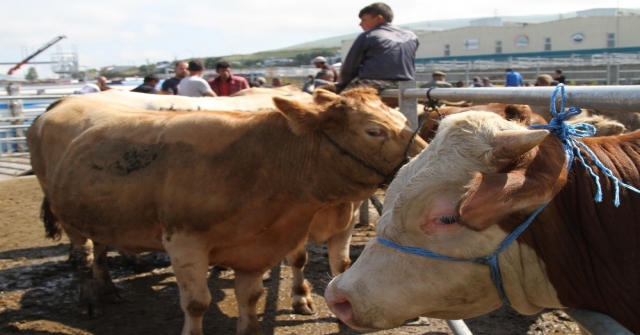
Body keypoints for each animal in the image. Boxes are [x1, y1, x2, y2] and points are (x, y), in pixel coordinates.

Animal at [28, 88, 424, 334]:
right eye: (374, 130)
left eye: (398, 114)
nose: (422, 158)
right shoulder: (183, 241)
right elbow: (196, 303)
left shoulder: (260, 247)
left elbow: (252, 296)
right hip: (66, 213)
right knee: (82, 254)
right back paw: (90, 299)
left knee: (100, 245)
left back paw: (108, 287)